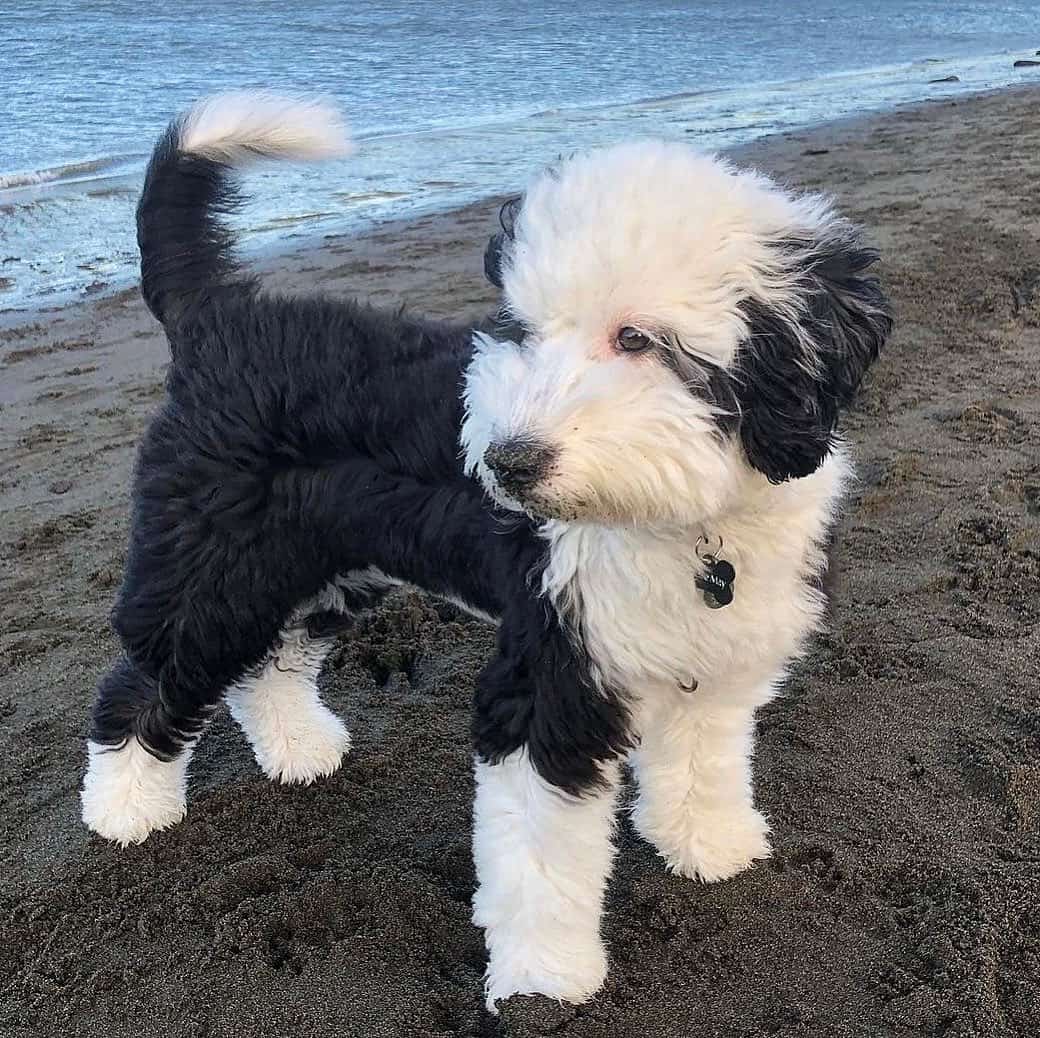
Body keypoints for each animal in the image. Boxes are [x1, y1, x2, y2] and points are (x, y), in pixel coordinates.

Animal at [83, 93, 894, 1010]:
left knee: (270, 660)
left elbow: (702, 760)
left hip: (310, 563)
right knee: (147, 679)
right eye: (524, 332)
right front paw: (543, 979)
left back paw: (299, 749)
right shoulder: (546, 678)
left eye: (636, 339)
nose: (505, 462)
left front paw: (707, 842)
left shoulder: (713, 657)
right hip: (210, 563)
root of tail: (218, 314)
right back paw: (126, 808)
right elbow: (541, 855)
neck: (679, 520)